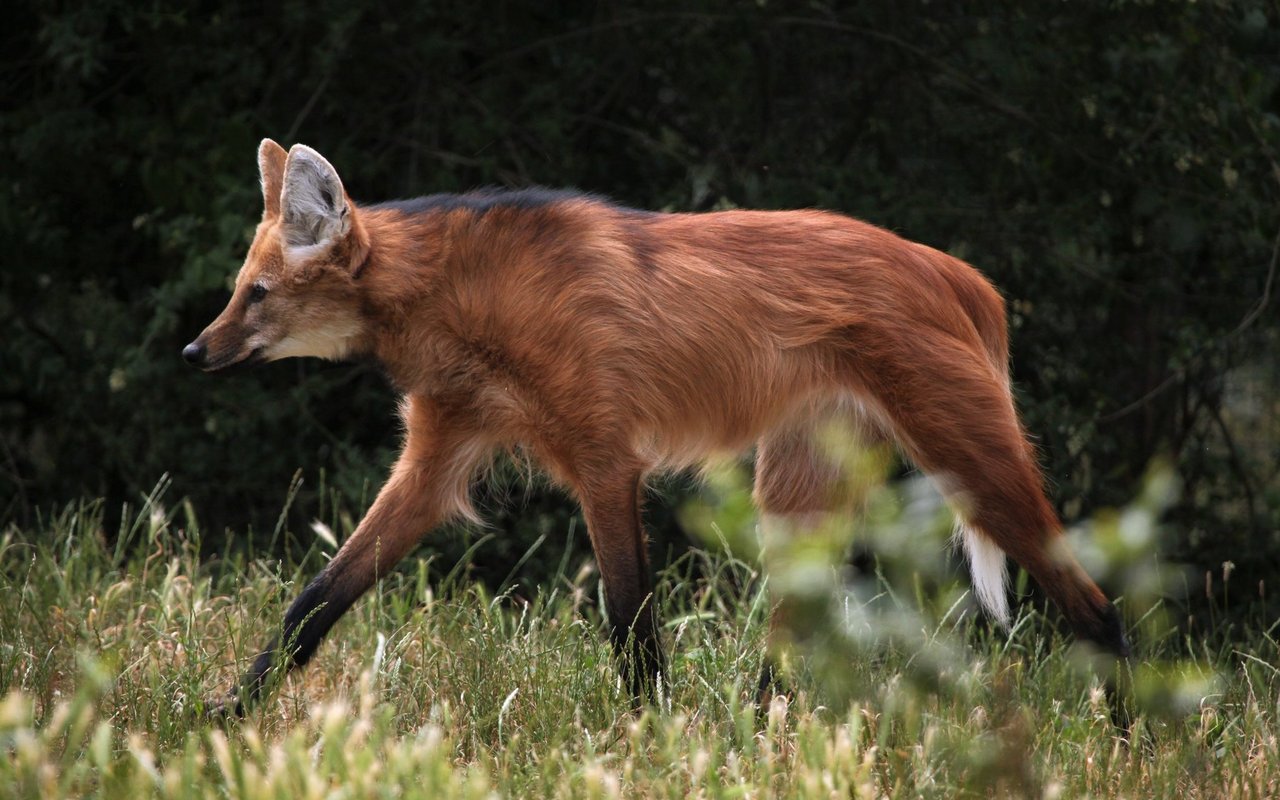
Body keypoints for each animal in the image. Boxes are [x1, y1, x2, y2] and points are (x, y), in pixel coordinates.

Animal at [185, 138, 1126, 716]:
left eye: (257, 294)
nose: (195, 349)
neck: (459, 299)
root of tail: (960, 274)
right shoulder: (438, 458)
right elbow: (315, 599)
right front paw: (220, 717)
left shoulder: (604, 457)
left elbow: (628, 620)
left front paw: (646, 735)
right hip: (799, 481)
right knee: (792, 632)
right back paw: (757, 737)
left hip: (966, 452)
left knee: (1096, 607)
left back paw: (1129, 738)